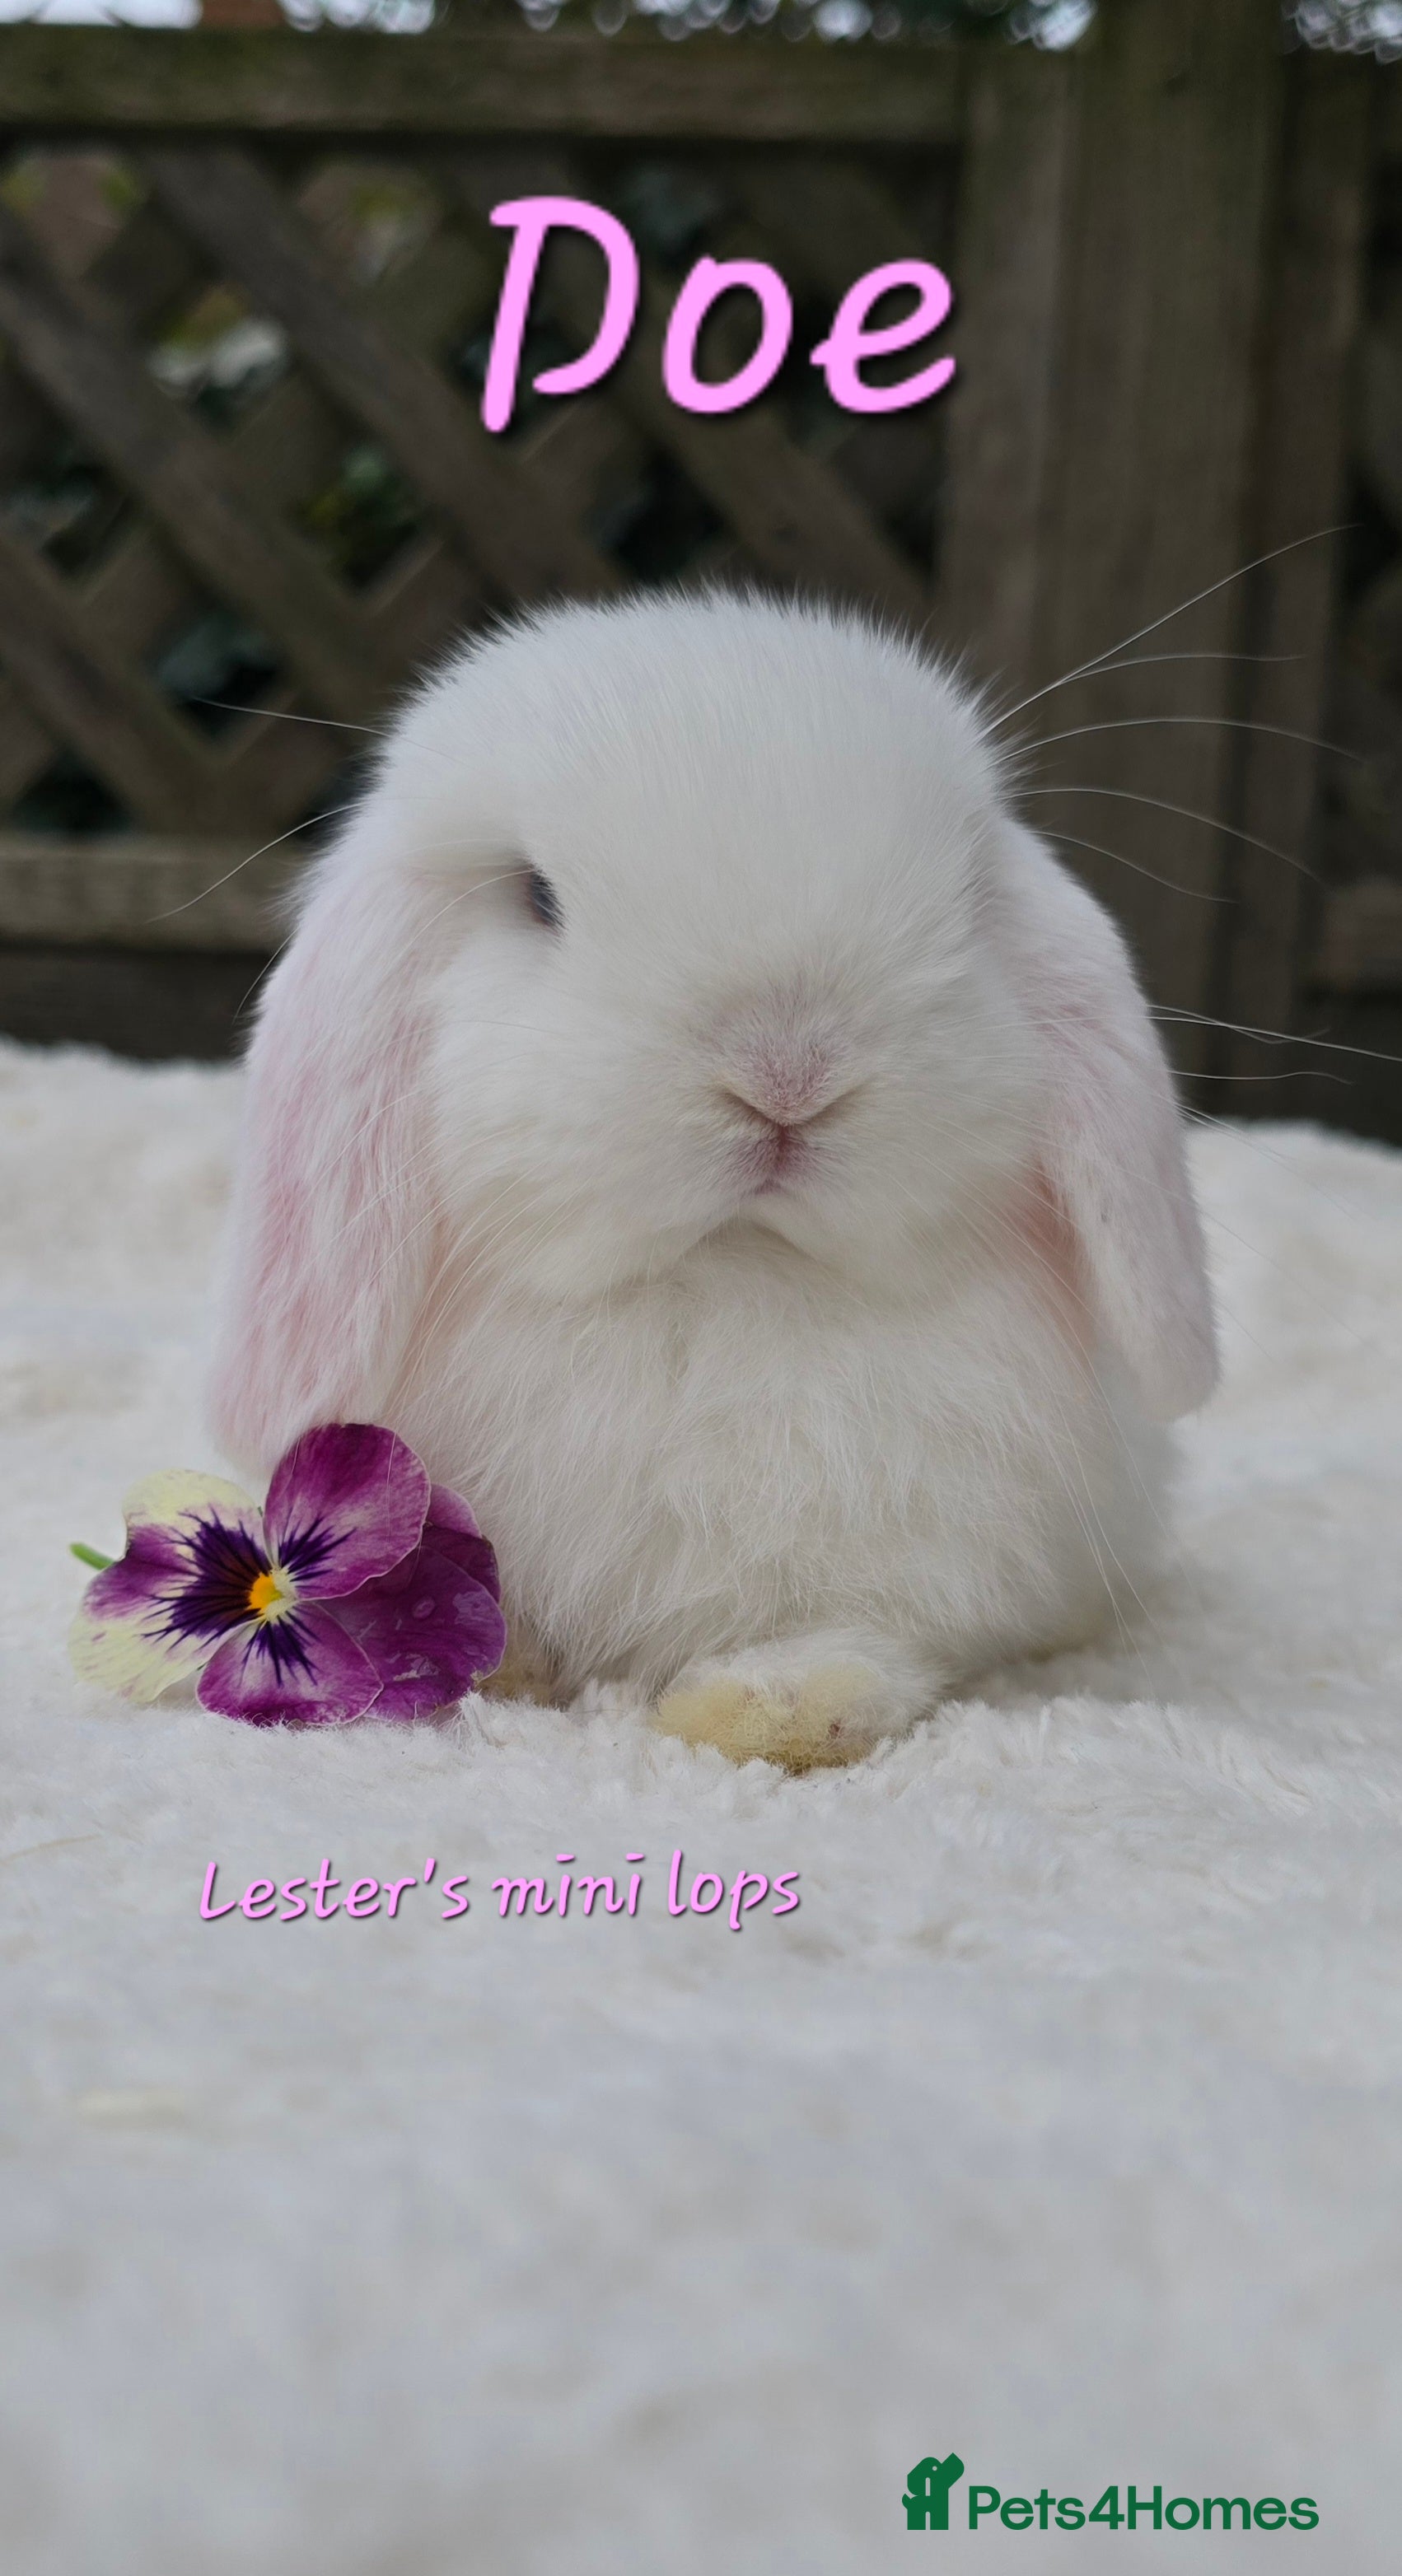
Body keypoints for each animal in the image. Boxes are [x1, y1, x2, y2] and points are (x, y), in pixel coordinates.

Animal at [209, 591, 1217, 1769]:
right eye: (538, 897)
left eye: (967, 896)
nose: (787, 1070)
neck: (727, 1276)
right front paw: (491, 1656)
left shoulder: (935, 1571)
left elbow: (869, 1641)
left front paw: (763, 1709)